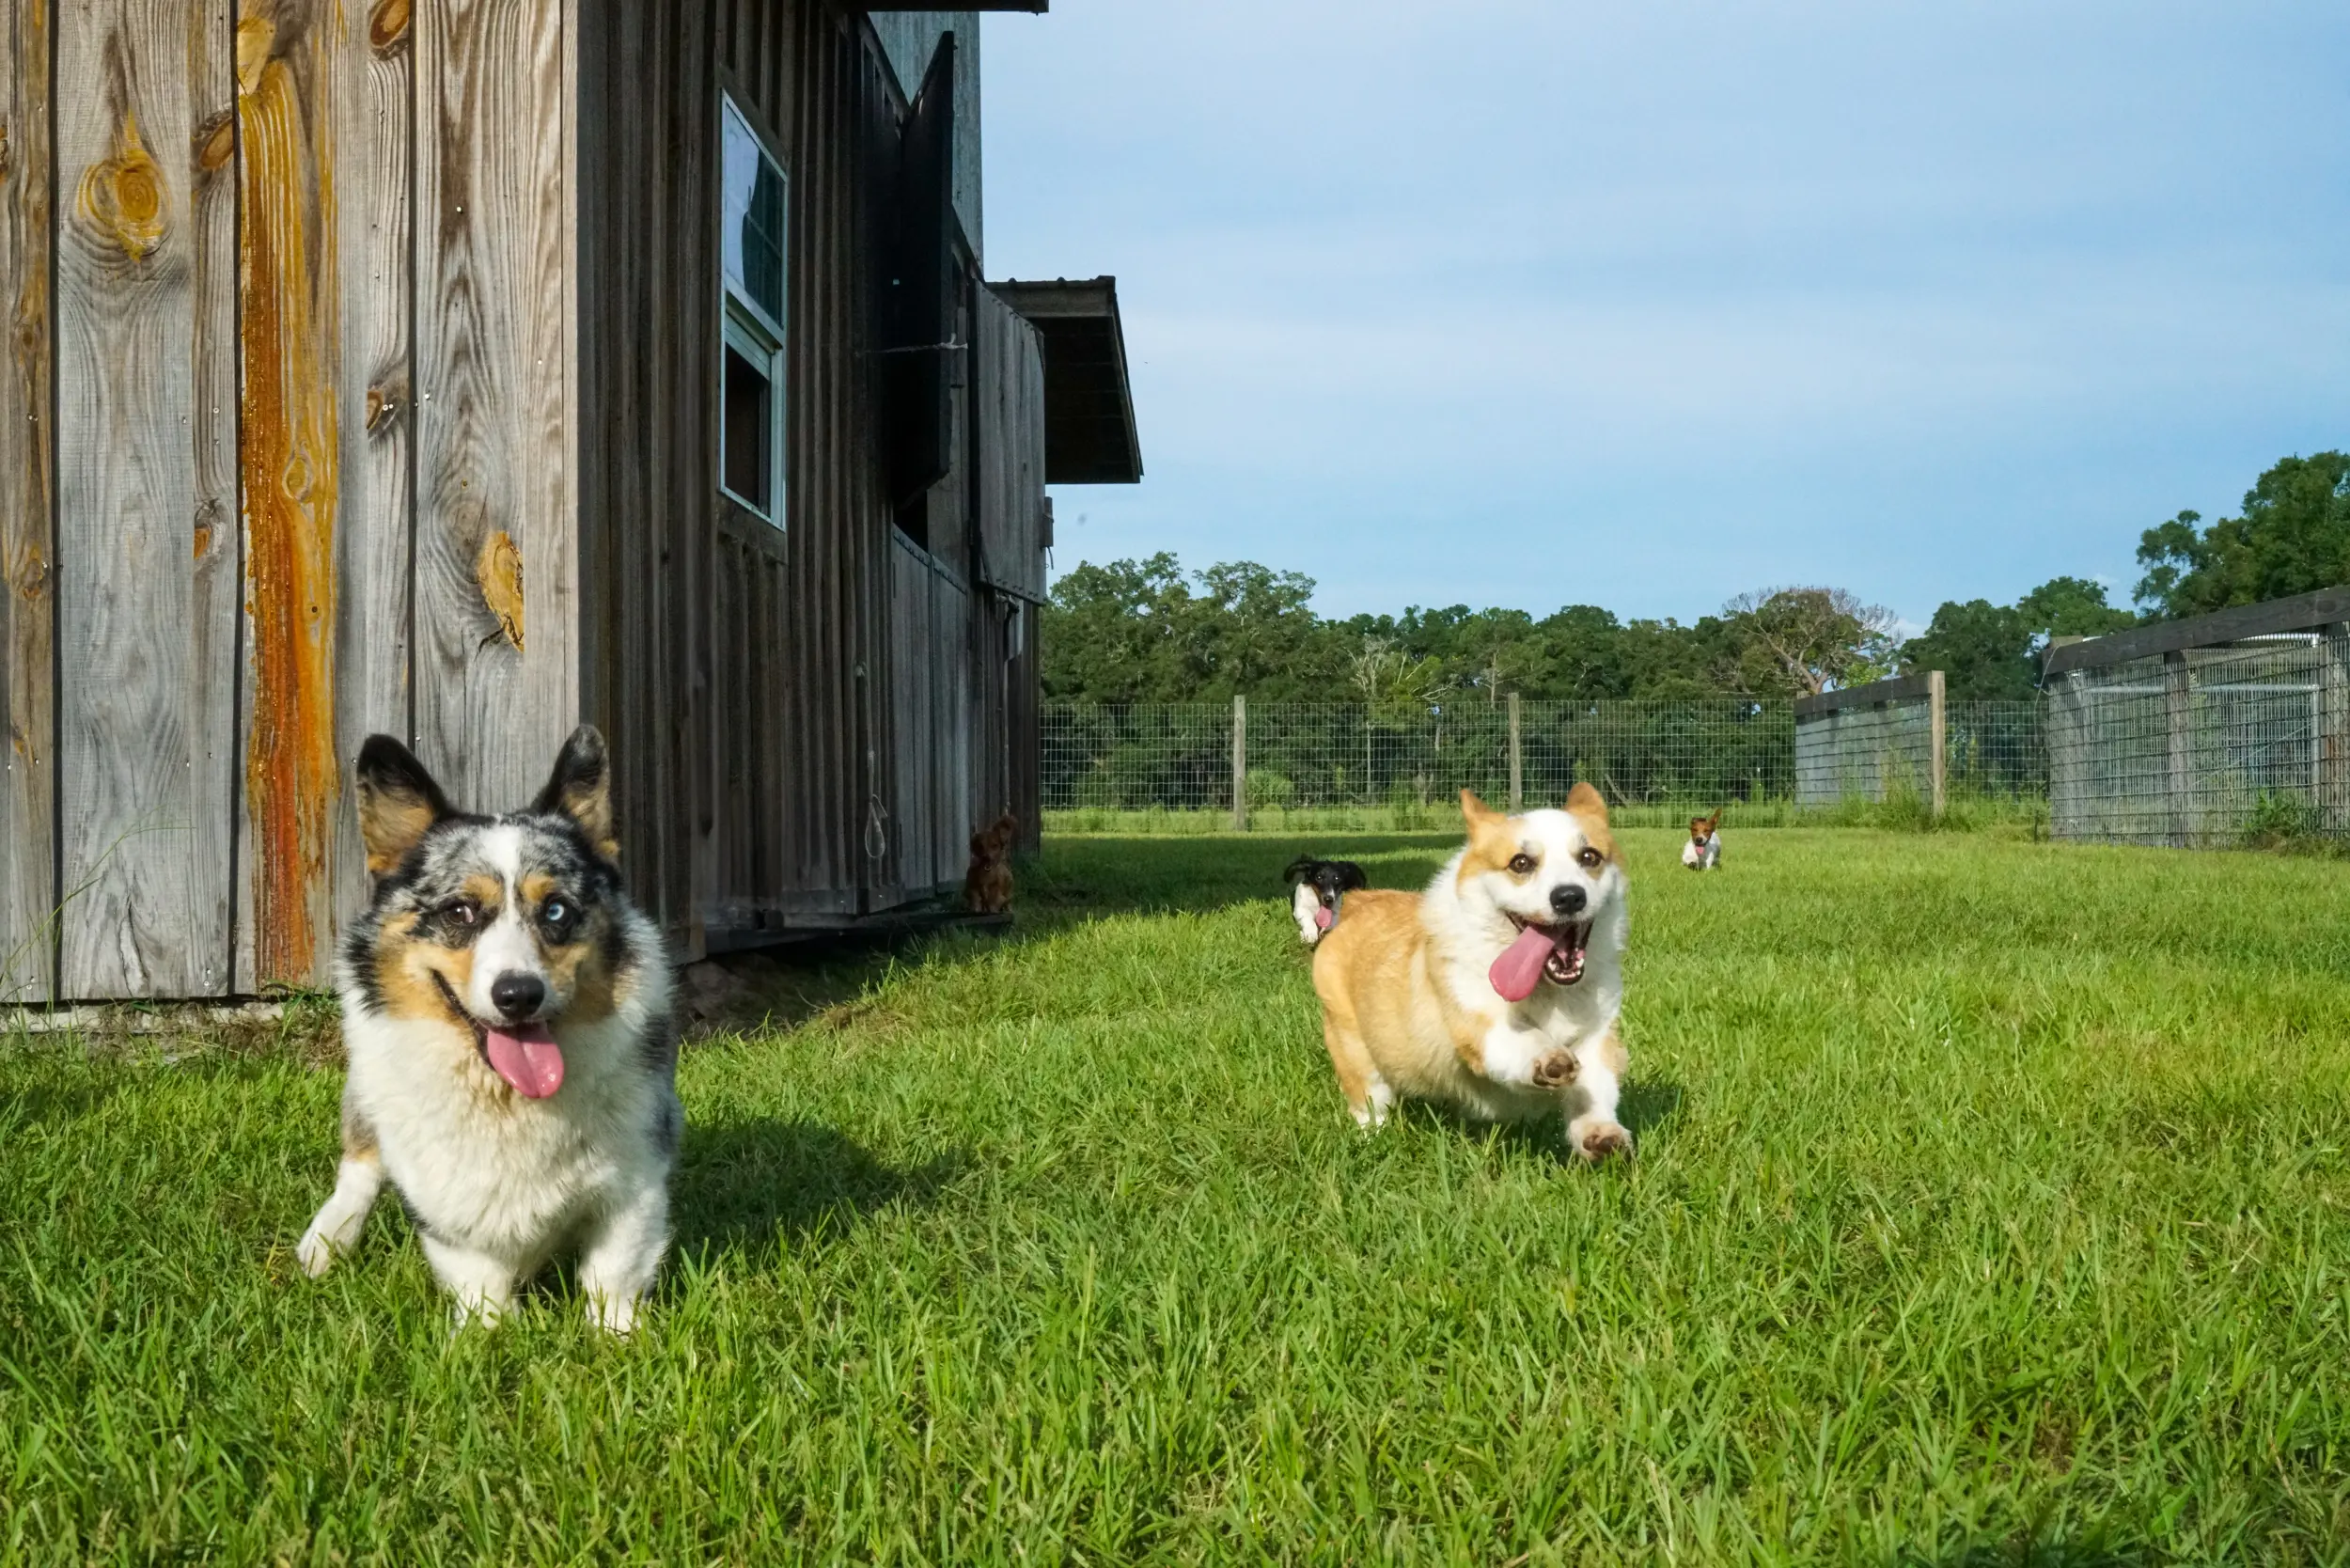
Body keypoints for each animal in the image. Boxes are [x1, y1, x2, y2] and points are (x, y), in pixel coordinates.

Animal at [296, 729, 682, 1335]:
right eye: (460, 911)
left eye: (556, 910)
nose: (519, 994)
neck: (507, 1098)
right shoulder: (446, 1205)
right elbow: (481, 1281)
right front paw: (488, 1338)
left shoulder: (635, 1183)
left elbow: (612, 1275)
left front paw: (617, 1338)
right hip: (364, 1093)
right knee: (358, 1167)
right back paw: (326, 1242)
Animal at [1316, 790, 1626, 1161]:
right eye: (1521, 863)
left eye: (1590, 857)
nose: (1569, 897)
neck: (1549, 991)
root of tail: (1357, 902)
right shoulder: (1477, 1024)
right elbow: (1522, 1037)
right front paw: (1548, 1059)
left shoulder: (1597, 1036)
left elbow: (1592, 1089)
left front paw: (1601, 1135)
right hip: (1355, 1052)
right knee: (1369, 1103)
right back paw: (1373, 1143)